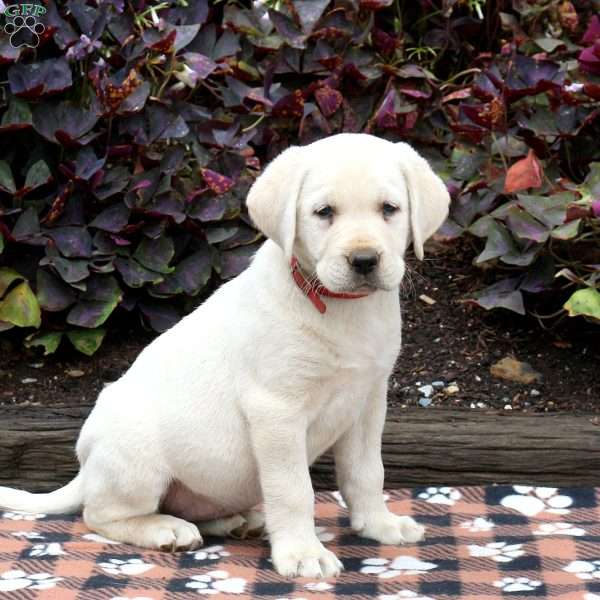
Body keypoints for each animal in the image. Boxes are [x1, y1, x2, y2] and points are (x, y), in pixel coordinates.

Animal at [0, 134, 450, 580]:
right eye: (324, 212)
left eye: (389, 209)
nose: (364, 260)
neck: (342, 309)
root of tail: (86, 466)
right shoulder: (276, 410)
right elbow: (293, 489)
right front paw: (303, 552)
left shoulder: (367, 401)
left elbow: (367, 472)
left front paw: (379, 524)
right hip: (138, 461)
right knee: (99, 515)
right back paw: (165, 529)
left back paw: (240, 521)